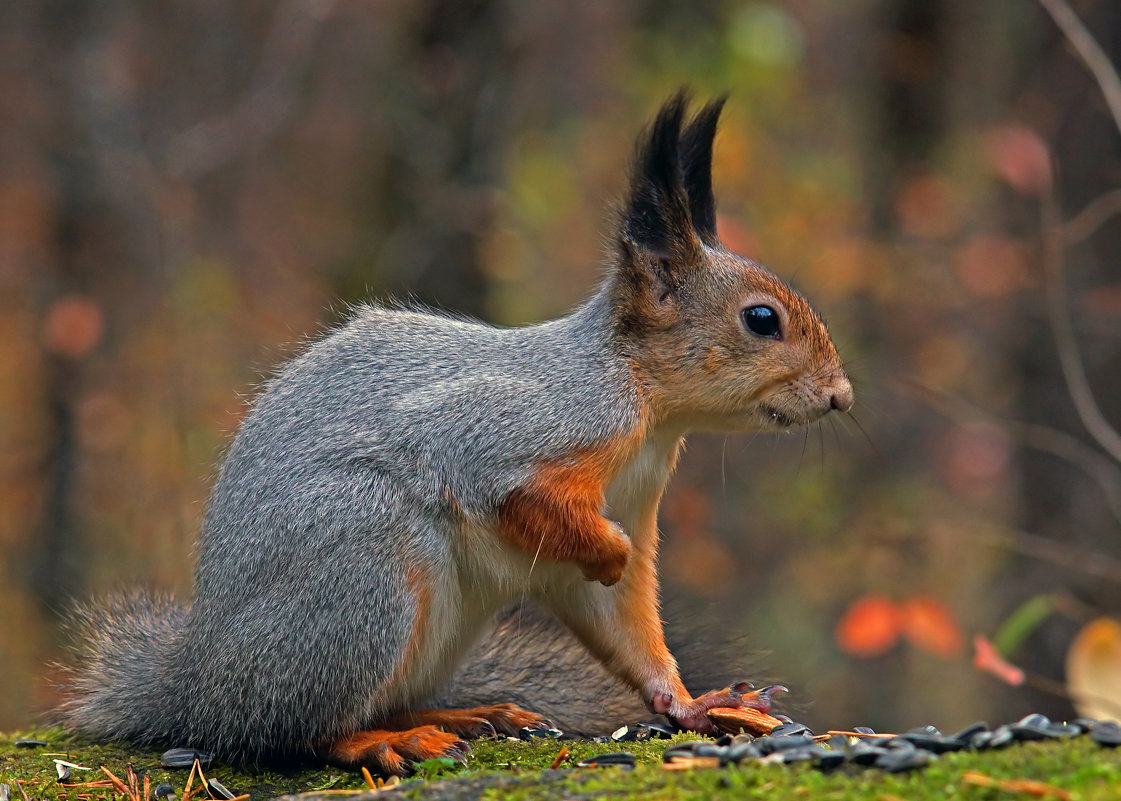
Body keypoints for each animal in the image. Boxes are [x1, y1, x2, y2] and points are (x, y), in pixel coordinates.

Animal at [59, 94, 847, 775]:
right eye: (761, 319)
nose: (841, 396)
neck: (648, 410)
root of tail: (200, 687)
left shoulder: (630, 498)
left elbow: (623, 623)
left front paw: (692, 704)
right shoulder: (517, 431)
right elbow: (525, 500)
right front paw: (611, 550)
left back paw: (467, 714)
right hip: (365, 568)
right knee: (295, 728)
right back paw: (383, 742)